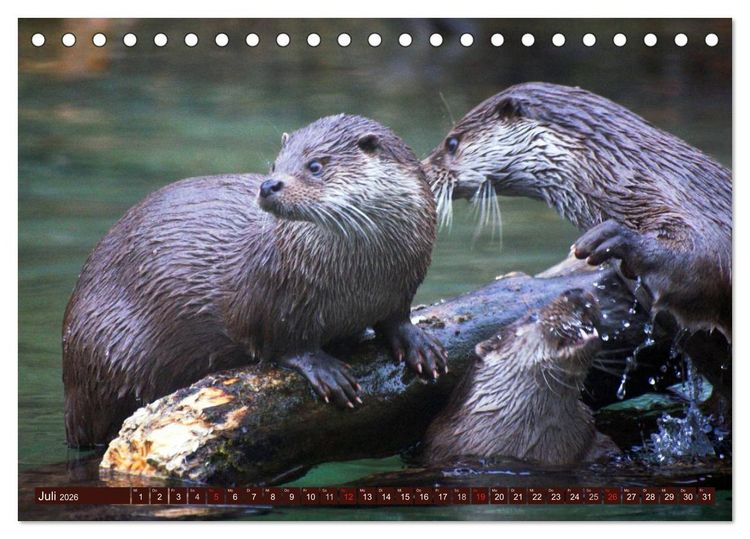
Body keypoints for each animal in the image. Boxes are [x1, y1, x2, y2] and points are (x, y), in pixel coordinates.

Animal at [63, 114, 447, 448]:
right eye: (275, 165)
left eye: (315, 166)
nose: (269, 185)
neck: (361, 281)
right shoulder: (271, 296)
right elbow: (281, 342)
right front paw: (324, 369)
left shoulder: (403, 283)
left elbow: (396, 316)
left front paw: (418, 343)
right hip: (107, 356)